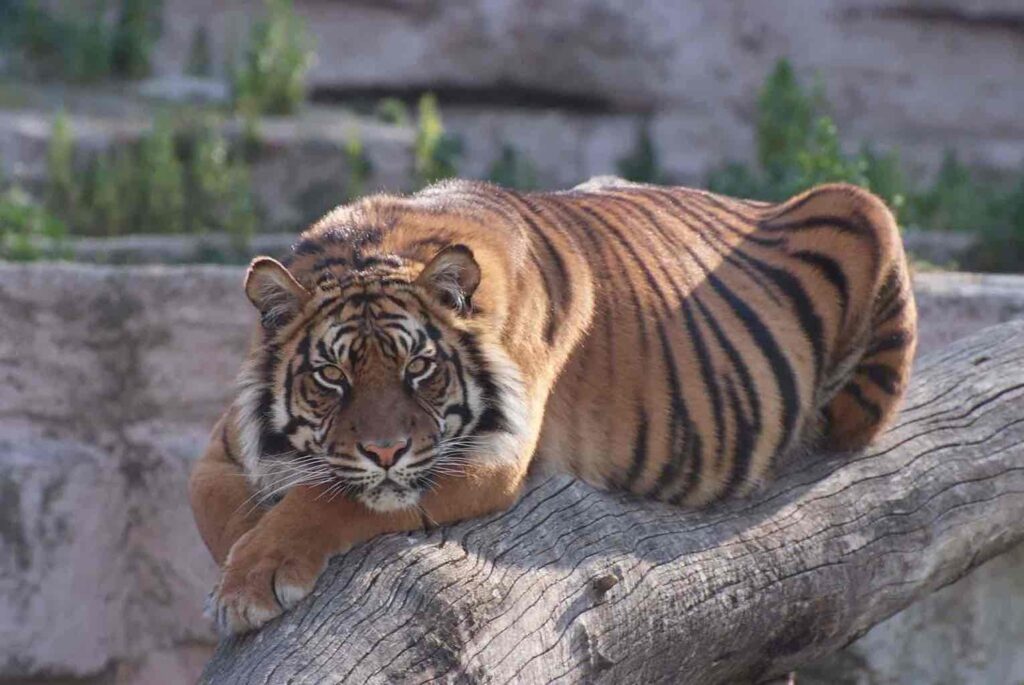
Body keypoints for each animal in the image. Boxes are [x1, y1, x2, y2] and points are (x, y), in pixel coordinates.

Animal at [189, 177, 917, 634]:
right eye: (332, 375)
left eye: (419, 367)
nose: (385, 451)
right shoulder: (233, 438)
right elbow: (212, 499)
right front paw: (240, 560)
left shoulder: (486, 454)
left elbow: (329, 497)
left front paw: (253, 579)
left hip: (863, 214)